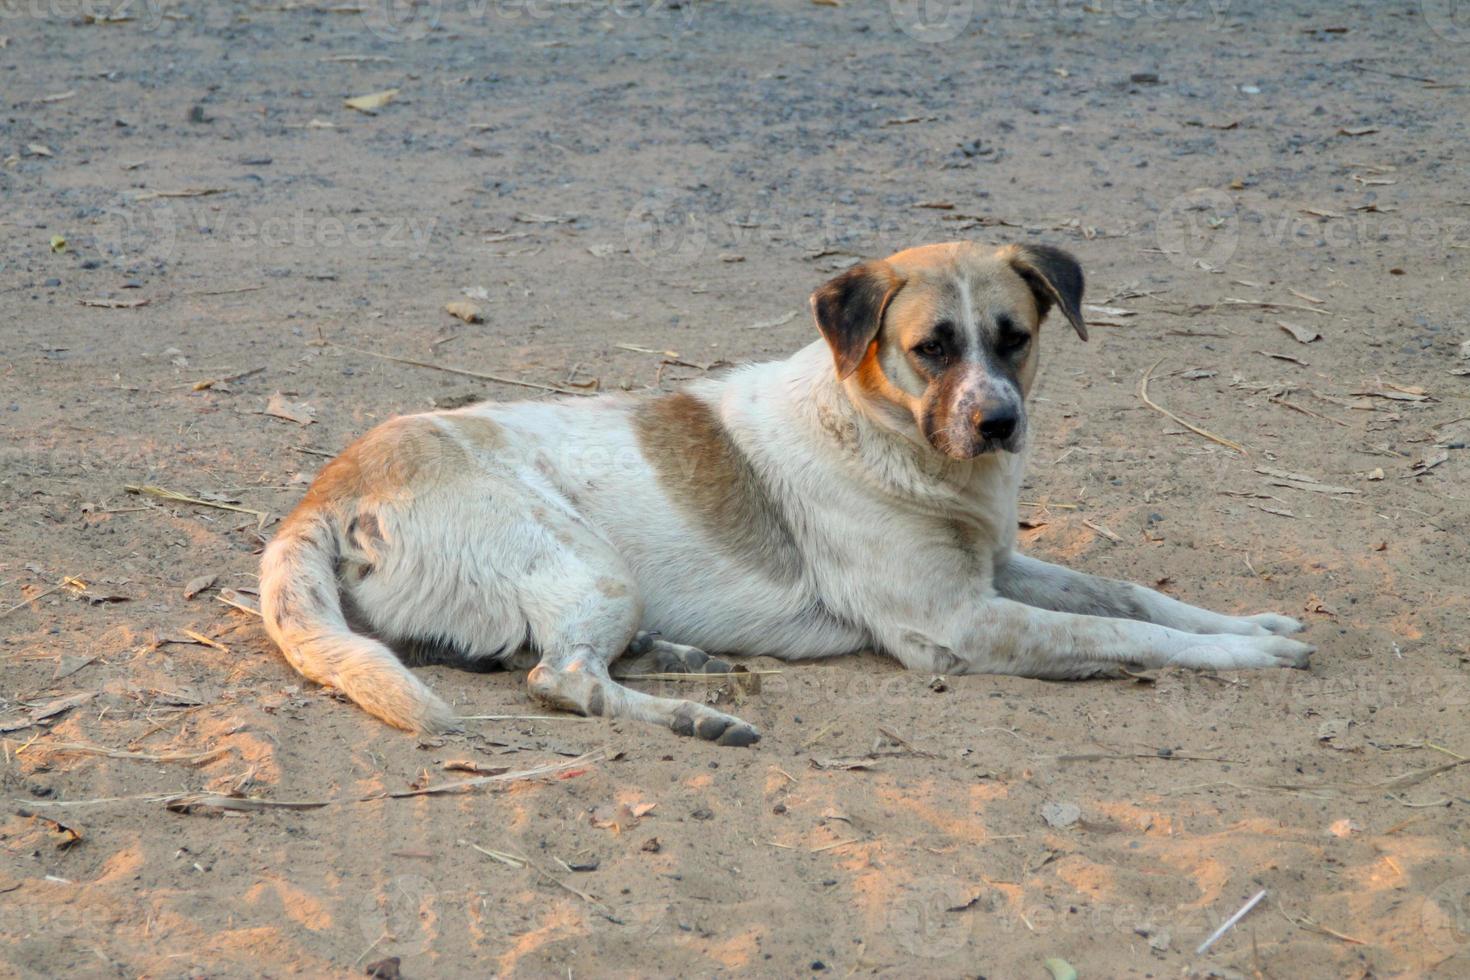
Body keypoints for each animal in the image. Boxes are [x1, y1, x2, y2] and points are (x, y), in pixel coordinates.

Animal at [258, 243, 1317, 743]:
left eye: (1014, 337)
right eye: (932, 346)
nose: (999, 423)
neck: (890, 438)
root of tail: (327, 490)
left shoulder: (1000, 568)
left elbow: (1130, 596)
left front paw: (1253, 624)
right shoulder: (960, 624)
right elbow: (1125, 634)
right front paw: (1246, 658)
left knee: (540, 657)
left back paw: (683, 659)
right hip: (592, 564)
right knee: (557, 678)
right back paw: (694, 717)